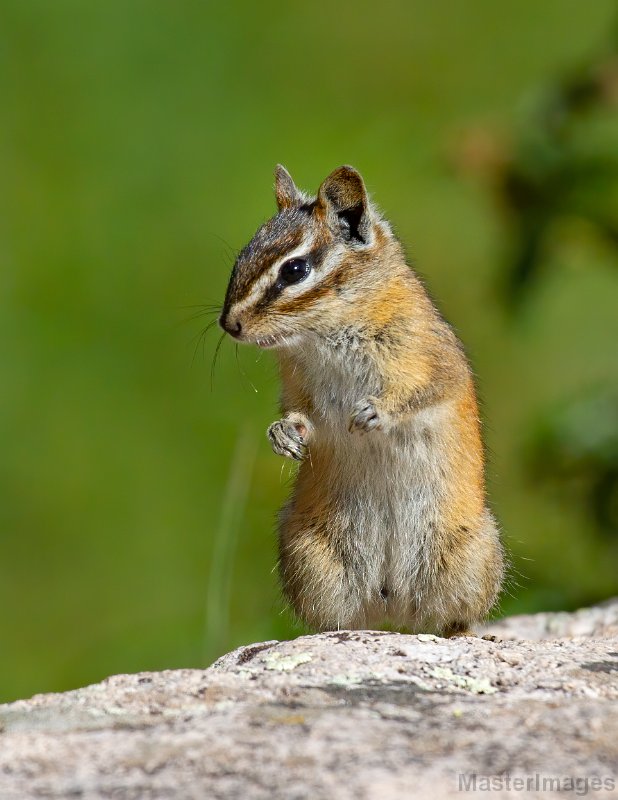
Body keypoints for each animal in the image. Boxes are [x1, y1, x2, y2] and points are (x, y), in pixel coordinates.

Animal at [219, 165, 504, 637]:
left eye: (294, 269)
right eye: (242, 256)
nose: (229, 325)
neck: (323, 336)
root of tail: (390, 606)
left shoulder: (431, 358)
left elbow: (427, 390)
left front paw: (375, 412)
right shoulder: (299, 389)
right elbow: (302, 417)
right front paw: (282, 434)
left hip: (465, 558)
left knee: (452, 621)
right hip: (311, 559)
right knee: (335, 621)